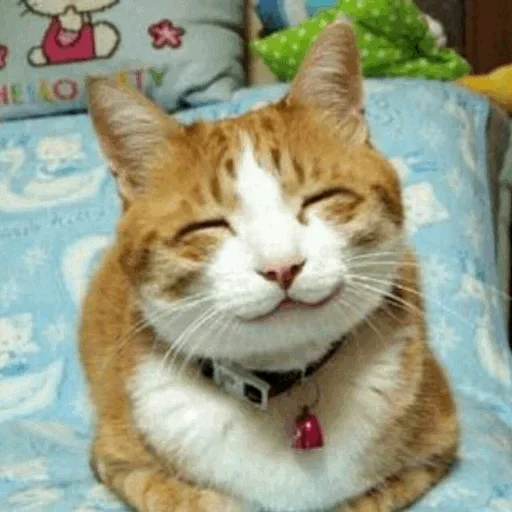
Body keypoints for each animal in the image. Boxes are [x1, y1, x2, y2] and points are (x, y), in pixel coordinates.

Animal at [80, 20, 458, 512]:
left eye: (321, 198)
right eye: (207, 226)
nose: (282, 267)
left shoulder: (435, 448)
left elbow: (366, 499)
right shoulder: (118, 461)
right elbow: (188, 498)